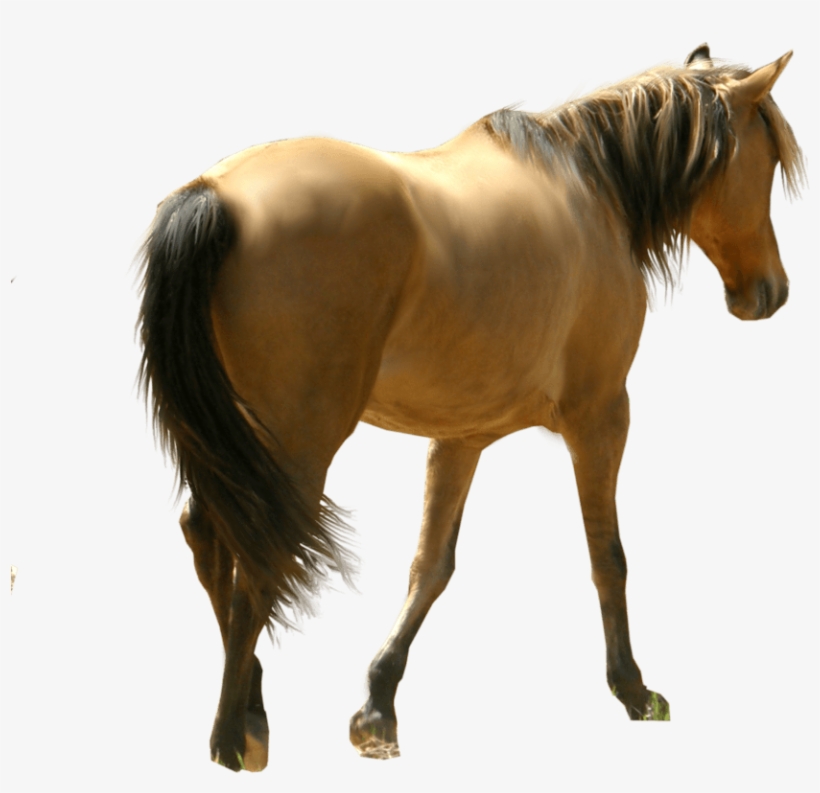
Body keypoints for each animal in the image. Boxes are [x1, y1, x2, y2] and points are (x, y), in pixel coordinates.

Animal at [137, 44, 804, 771]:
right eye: (767, 160)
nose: (770, 292)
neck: (592, 191)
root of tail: (216, 194)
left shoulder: (462, 436)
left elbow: (431, 565)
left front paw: (378, 705)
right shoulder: (601, 415)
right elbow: (608, 556)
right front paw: (633, 688)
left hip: (235, 437)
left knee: (209, 535)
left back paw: (252, 708)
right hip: (299, 440)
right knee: (256, 557)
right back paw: (232, 737)